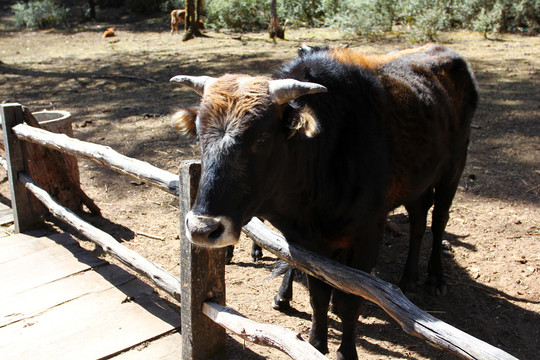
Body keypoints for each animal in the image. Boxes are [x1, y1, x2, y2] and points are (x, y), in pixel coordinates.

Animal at [170, 45, 476, 360]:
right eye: (200, 135)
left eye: (262, 139)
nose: (203, 229)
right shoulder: (307, 245)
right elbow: (318, 294)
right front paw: (316, 343)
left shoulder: (367, 238)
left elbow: (350, 301)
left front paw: (347, 351)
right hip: (419, 180)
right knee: (417, 220)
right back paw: (409, 279)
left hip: (453, 169)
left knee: (438, 220)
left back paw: (435, 278)